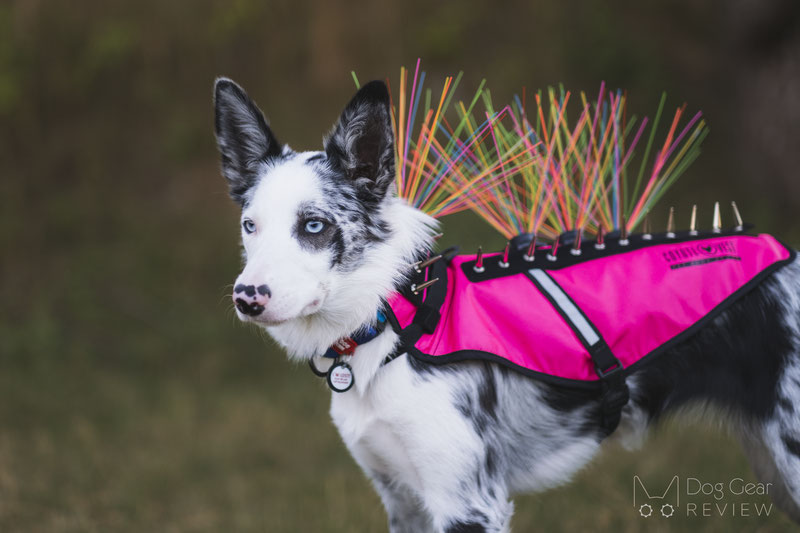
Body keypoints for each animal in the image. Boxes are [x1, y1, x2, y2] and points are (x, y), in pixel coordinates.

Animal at [211, 77, 800, 528]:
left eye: (313, 226)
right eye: (250, 226)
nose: (247, 298)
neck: (395, 322)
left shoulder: (468, 503)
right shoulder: (404, 499)